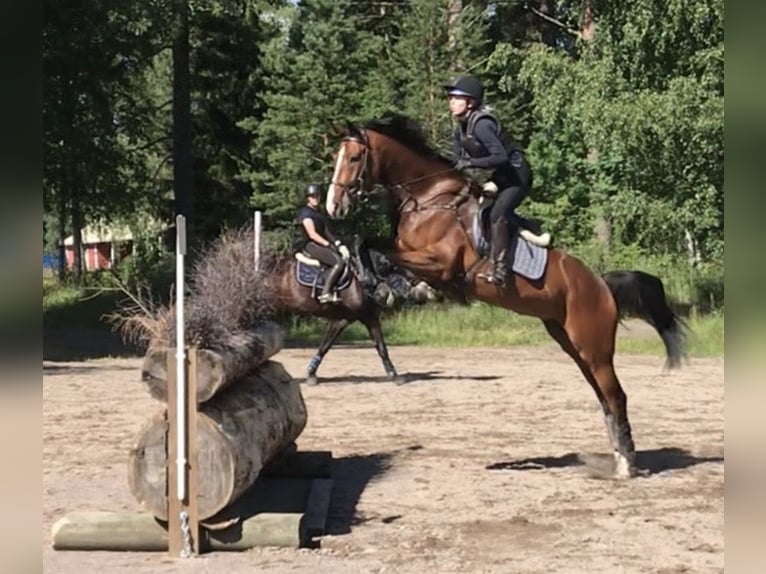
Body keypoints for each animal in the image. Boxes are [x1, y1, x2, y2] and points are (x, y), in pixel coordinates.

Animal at [324, 113, 688, 482]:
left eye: (353, 158)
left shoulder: (441, 262)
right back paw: (618, 457)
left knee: (616, 396)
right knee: (603, 398)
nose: (333, 205)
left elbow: (374, 247)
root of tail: (600, 284)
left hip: (594, 348)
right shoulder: (412, 254)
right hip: (572, 344)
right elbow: (369, 244)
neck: (429, 198)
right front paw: (390, 286)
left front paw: (381, 285)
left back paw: (627, 464)